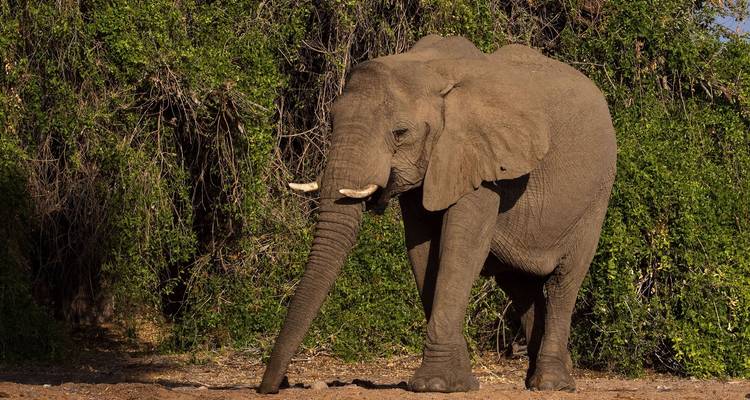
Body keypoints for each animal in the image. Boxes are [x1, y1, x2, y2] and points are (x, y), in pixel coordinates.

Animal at [258, 34, 617, 394]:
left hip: (595, 199)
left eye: (400, 133)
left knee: (562, 282)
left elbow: (461, 249)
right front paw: (458, 381)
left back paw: (552, 383)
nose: (272, 386)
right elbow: (423, 250)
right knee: (521, 286)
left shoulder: (479, 159)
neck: (431, 70)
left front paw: (435, 384)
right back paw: (546, 377)